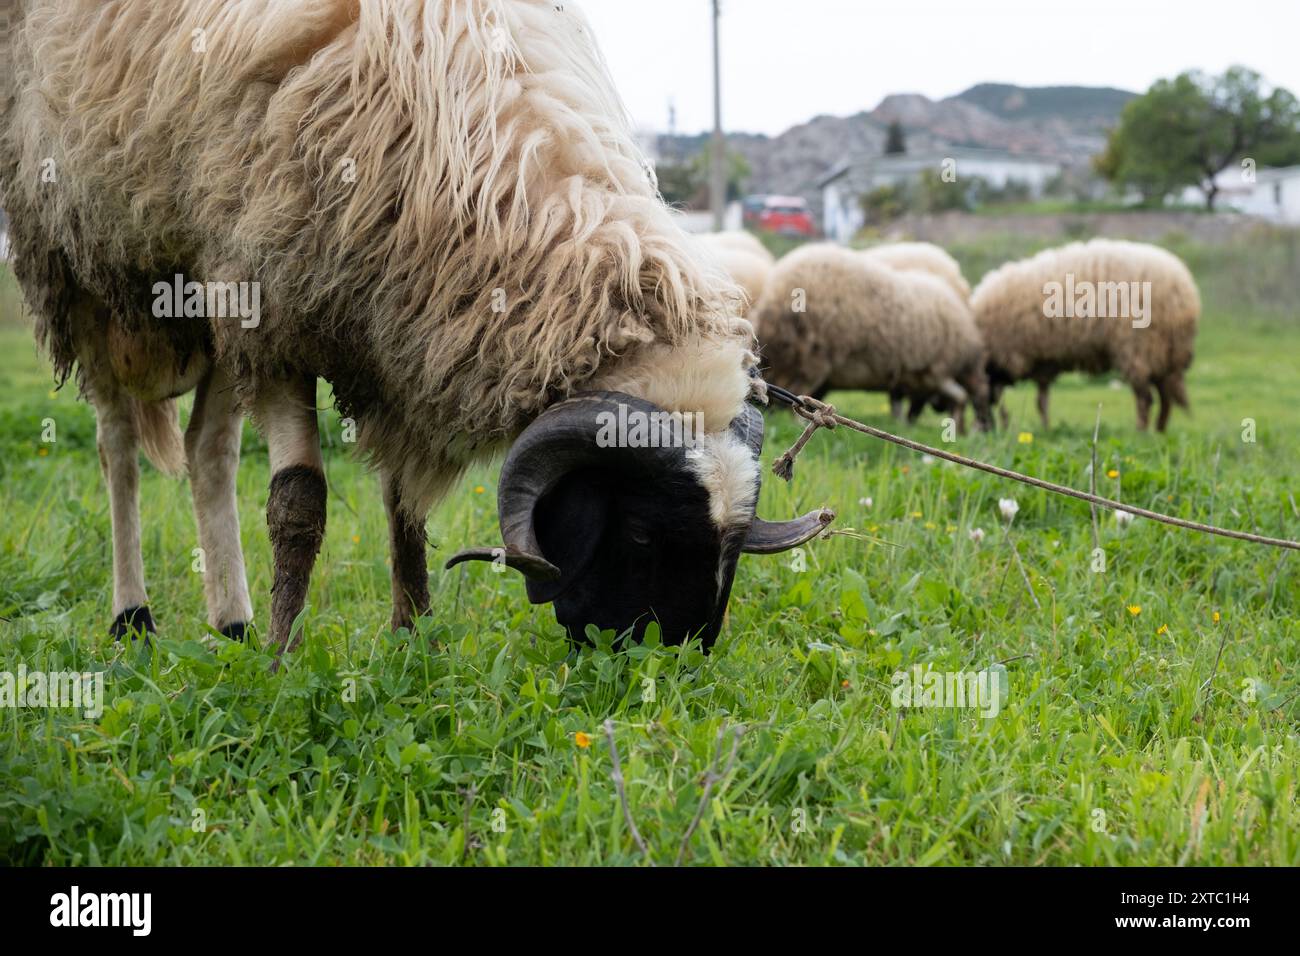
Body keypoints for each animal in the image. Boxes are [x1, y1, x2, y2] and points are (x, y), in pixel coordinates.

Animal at [1, 0, 830, 655]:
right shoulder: (277, 315)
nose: (678, 656)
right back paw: (134, 617)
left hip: (207, 308)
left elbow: (404, 509)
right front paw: (282, 660)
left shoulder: (400, 332)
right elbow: (298, 504)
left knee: (208, 451)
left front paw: (411, 637)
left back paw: (231, 623)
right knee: (116, 446)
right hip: (84, 272)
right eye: (639, 534)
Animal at [971, 239, 1200, 432]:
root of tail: (1183, 291)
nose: (983, 429)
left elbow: (1033, 399)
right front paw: (1045, 428)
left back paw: (1141, 431)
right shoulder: (1043, 360)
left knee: (1146, 397)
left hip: (1139, 347)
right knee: (1165, 396)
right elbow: (1041, 400)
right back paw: (1160, 430)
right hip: (1161, 353)